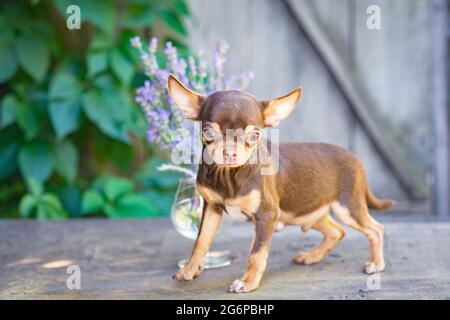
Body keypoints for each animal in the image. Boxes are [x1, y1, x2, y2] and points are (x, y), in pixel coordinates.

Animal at [168, 74, 394, 292]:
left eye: (254, 135)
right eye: (208, 132)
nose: (229, 153)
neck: (228, 175)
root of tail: (354, 157)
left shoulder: (266, 215)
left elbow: (256, 253)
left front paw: (248, 283)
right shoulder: (212, 208)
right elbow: (201, 241)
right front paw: (189, 270)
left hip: (348, 207)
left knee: (376, 229)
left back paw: (376, 263)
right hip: (309, 212)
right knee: (337, 231)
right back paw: (312, 257)